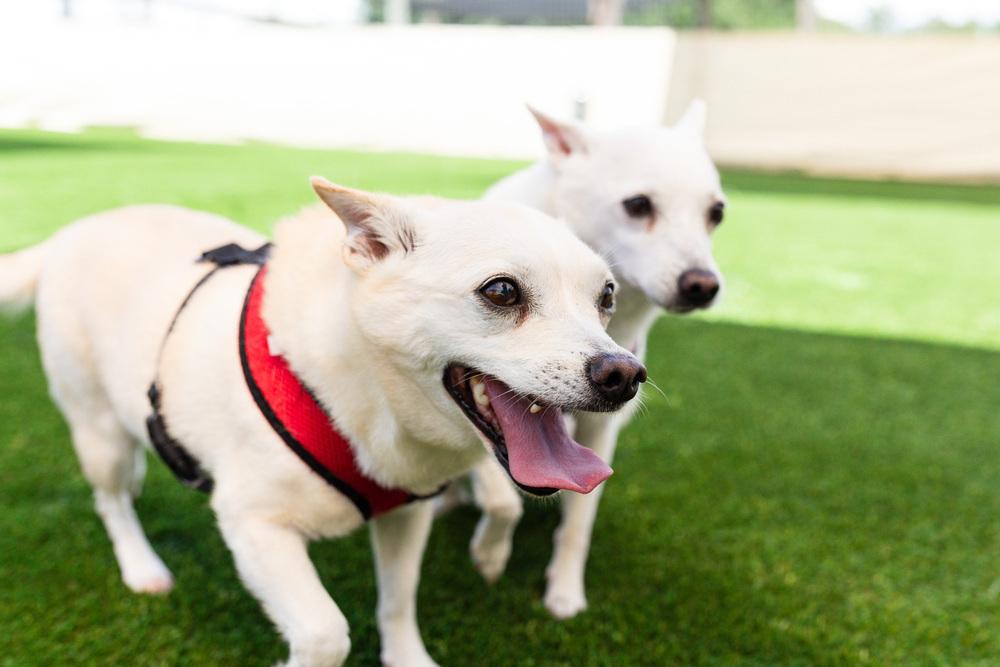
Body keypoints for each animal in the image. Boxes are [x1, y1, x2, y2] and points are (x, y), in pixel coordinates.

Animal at [0, 179, 640, 667]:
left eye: (607, 297)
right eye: (502, 291)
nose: (626, 374)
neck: (362, 395)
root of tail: (70, 232)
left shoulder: (407, 513)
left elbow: (398, 600)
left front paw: (409, 655)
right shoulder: (253, 525)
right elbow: (325, 633)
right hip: (99, 433)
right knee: (111, 502)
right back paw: (142, 568)